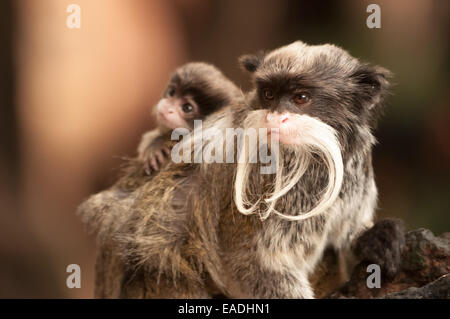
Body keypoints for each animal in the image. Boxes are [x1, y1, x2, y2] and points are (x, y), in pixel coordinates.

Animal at [108, 41, 404, 298]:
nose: (274, 117)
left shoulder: (356, 168)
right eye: (269, 95)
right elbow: (249, 263)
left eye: (301, 98)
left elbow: (345, 233)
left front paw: (373, 238)